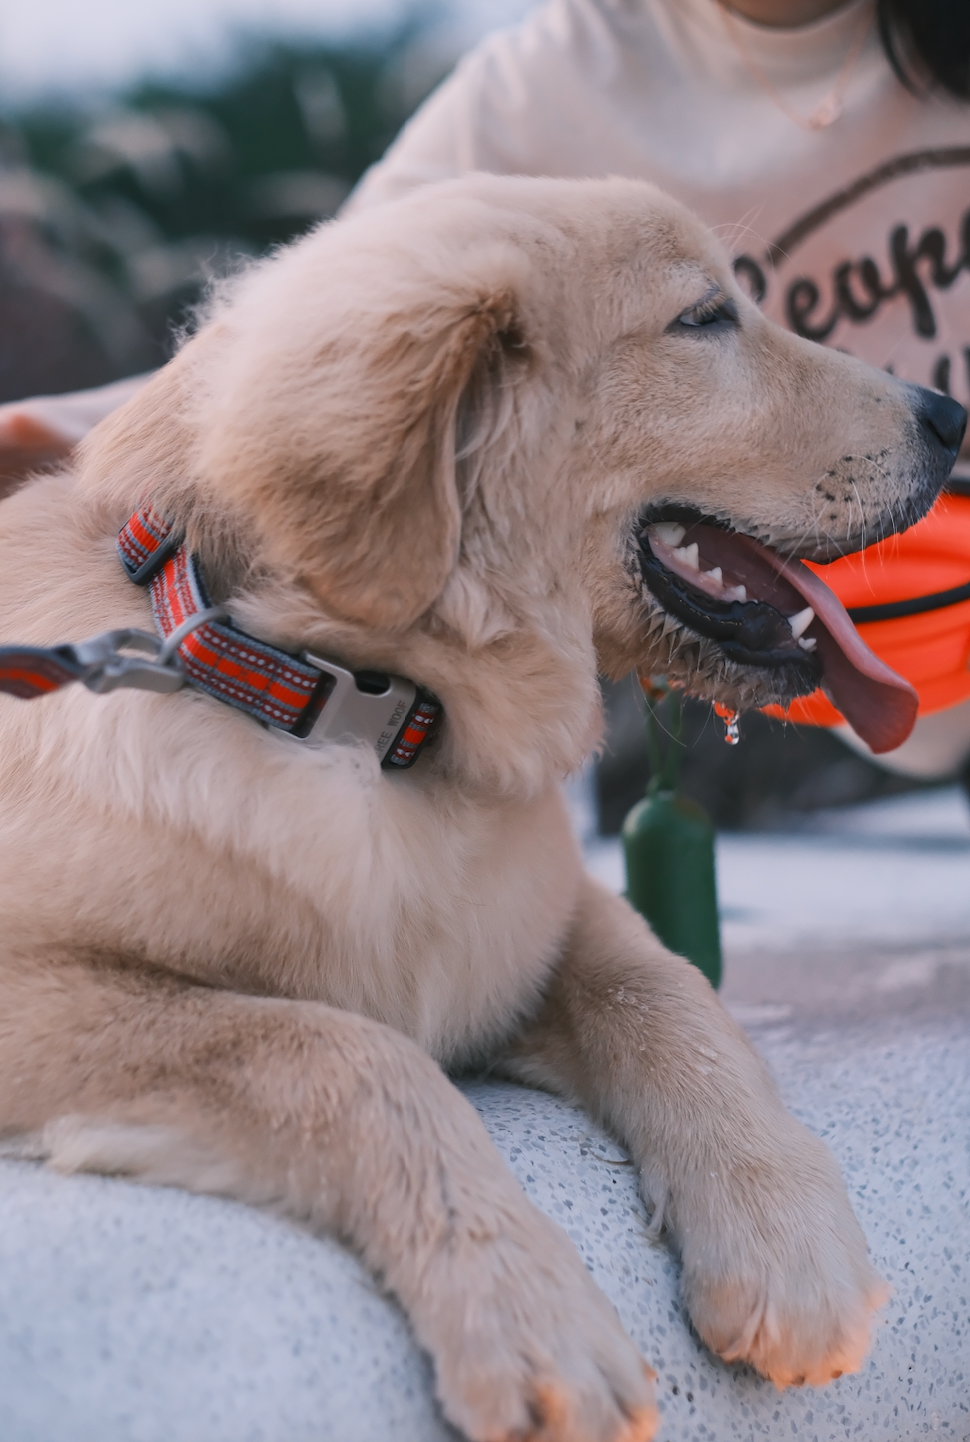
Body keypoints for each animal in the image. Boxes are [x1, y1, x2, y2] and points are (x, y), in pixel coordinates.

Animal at [0, 177, 962, 1442]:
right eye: (704, 318)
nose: (951, 416)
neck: (362, 717)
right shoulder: (39, 986)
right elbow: (337, 1045)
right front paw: (530, 1310)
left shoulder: (540, 920)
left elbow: (666, 990)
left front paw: (784, 1238)